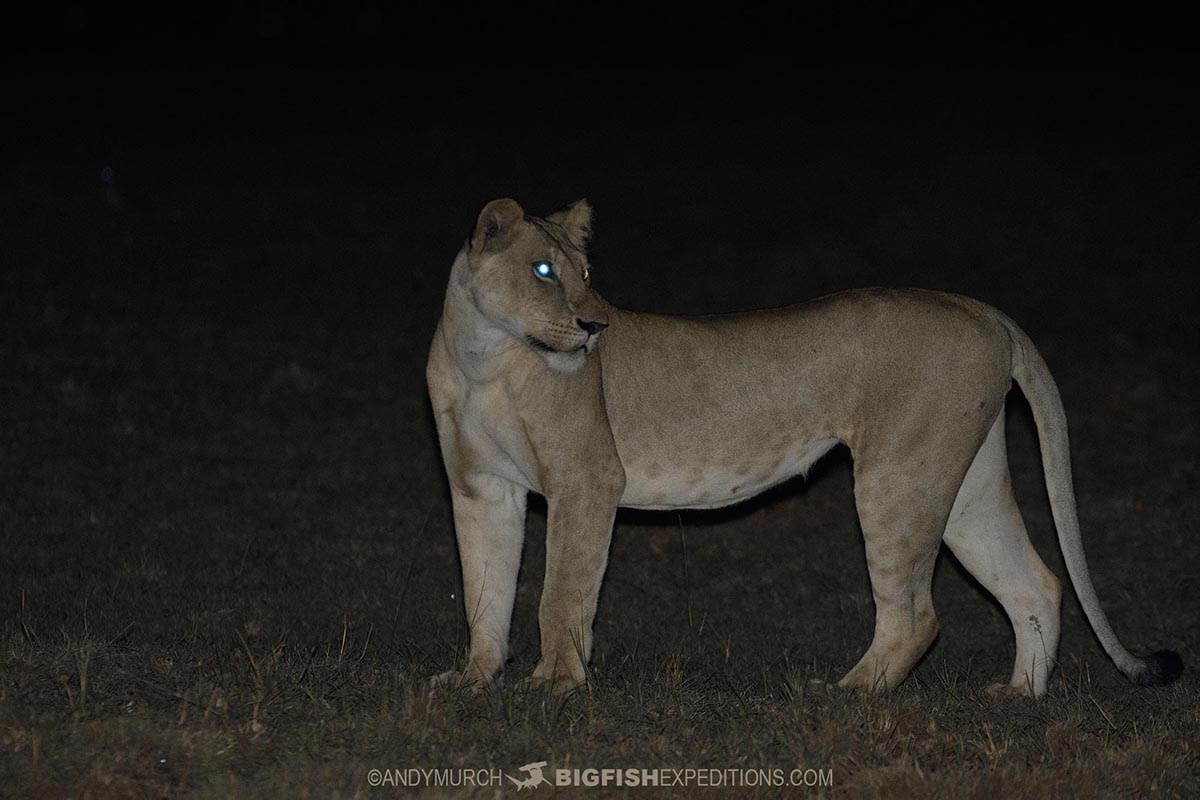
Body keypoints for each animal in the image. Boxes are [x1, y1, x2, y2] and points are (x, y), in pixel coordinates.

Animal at [425, 197, 1182, 697]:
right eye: (543, 270)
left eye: (583, 274)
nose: (593, 326)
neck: (486, 357)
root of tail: (976, 306)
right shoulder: (480, 488)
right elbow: (485, 587)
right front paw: (472, 680)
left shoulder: (587, 482)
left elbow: (561, 591)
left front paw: (554, 685)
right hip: (964, 481)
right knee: (1036, 582)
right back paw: (1019, 697)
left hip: (896, 477)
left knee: (916, 614)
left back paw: (848, 695)